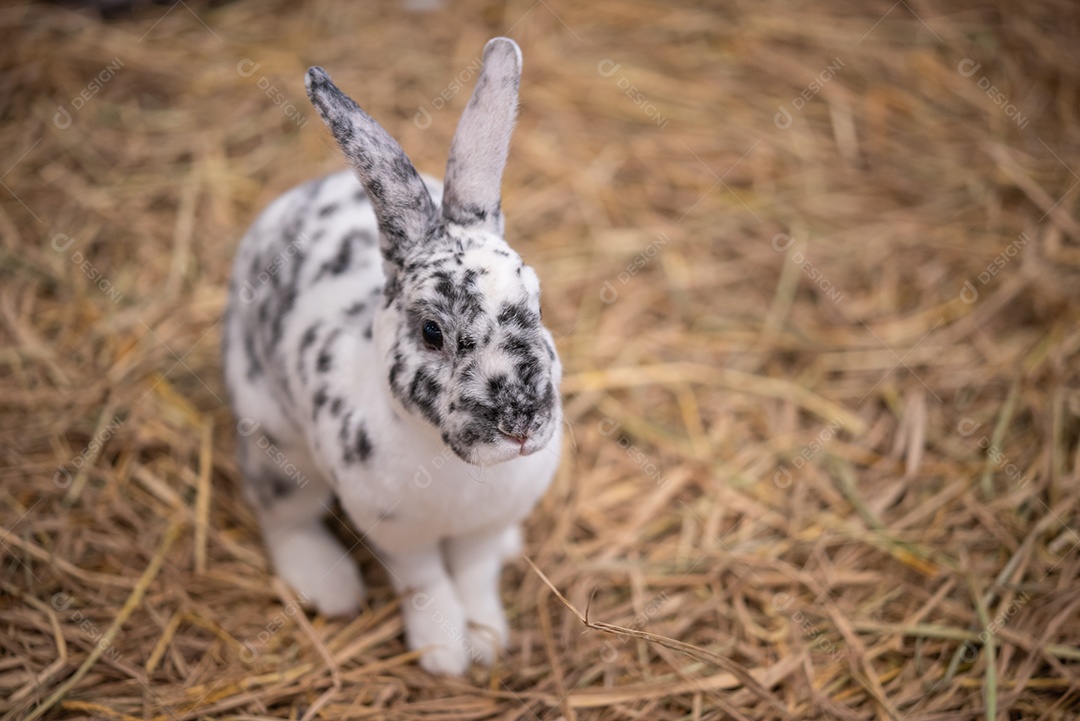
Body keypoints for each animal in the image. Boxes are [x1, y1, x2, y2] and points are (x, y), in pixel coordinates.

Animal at [216, 36, 561, 673]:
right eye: (431, 332)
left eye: (538, 304)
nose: (522, 425)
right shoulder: (397, 533)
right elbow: (426, 583)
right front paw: (445, 655)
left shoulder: (485, 526)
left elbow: (475, 574)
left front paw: (488, 640)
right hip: (275, 442)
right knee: (285, 518)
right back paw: (331, 589)